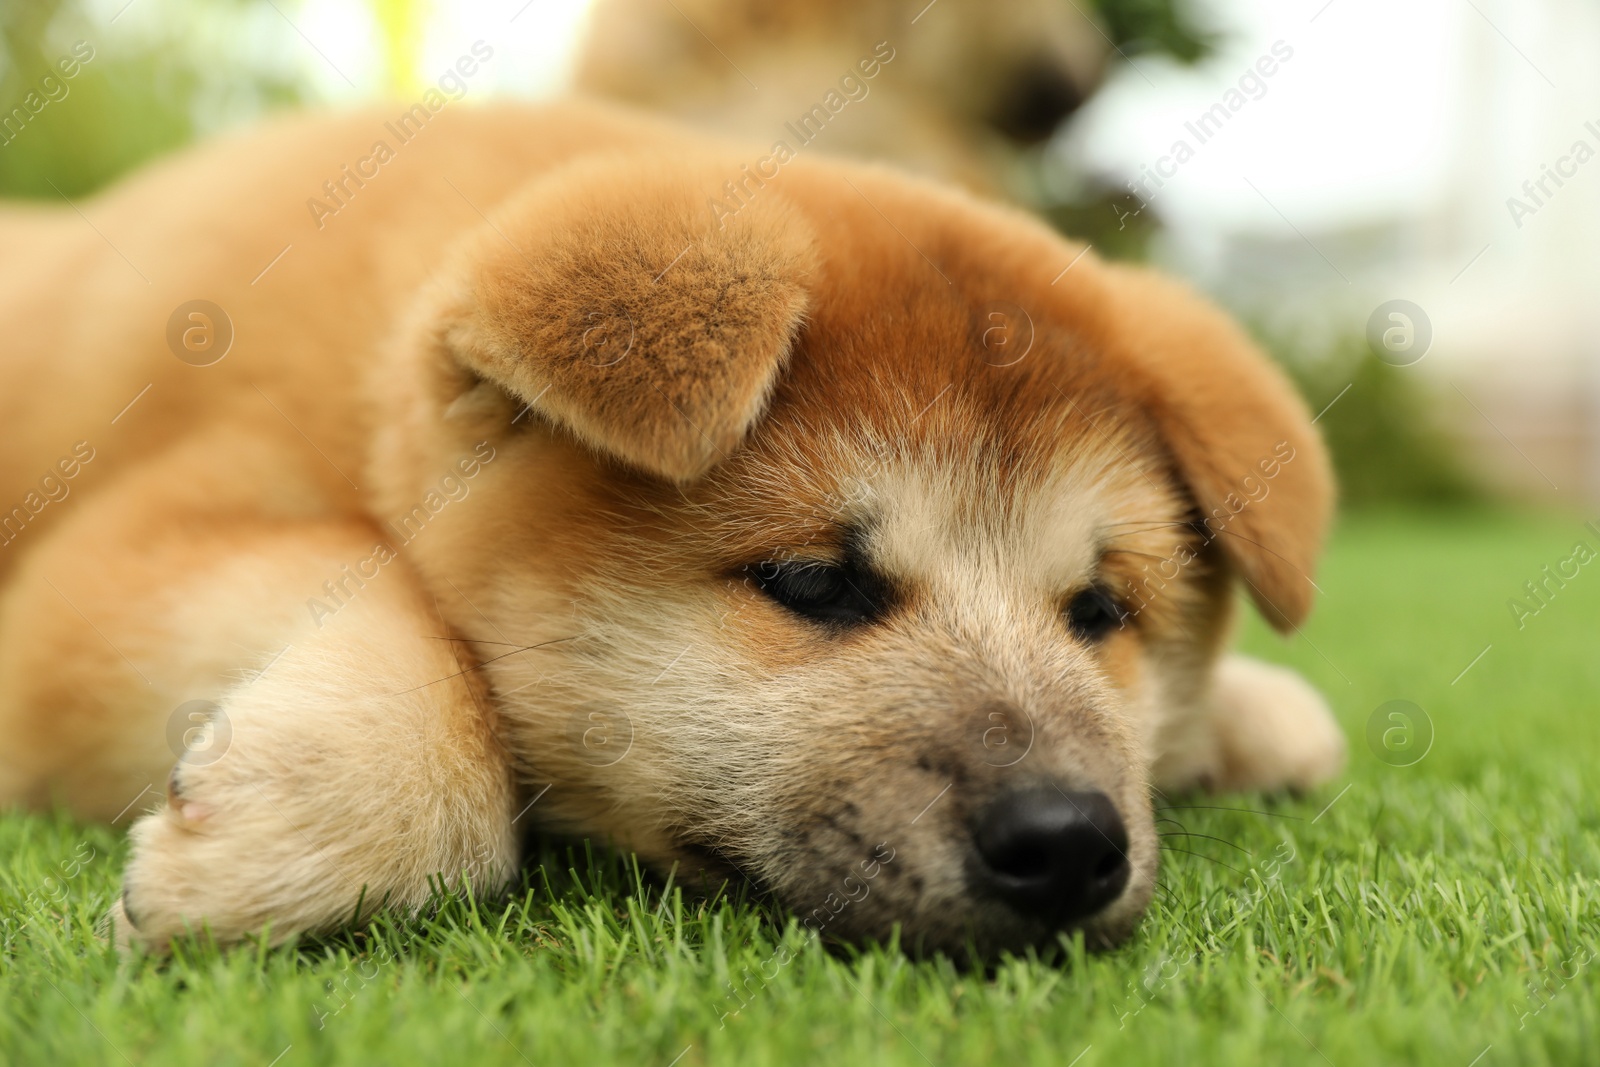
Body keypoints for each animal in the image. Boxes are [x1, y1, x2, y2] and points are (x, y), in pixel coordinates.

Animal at [0, 97, 1344, 953]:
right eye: (812, 581)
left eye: (1100, 612)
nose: (1066, 840)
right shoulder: (111, 561)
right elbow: (378, 590)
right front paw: (323, 810)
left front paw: (1246, 714)